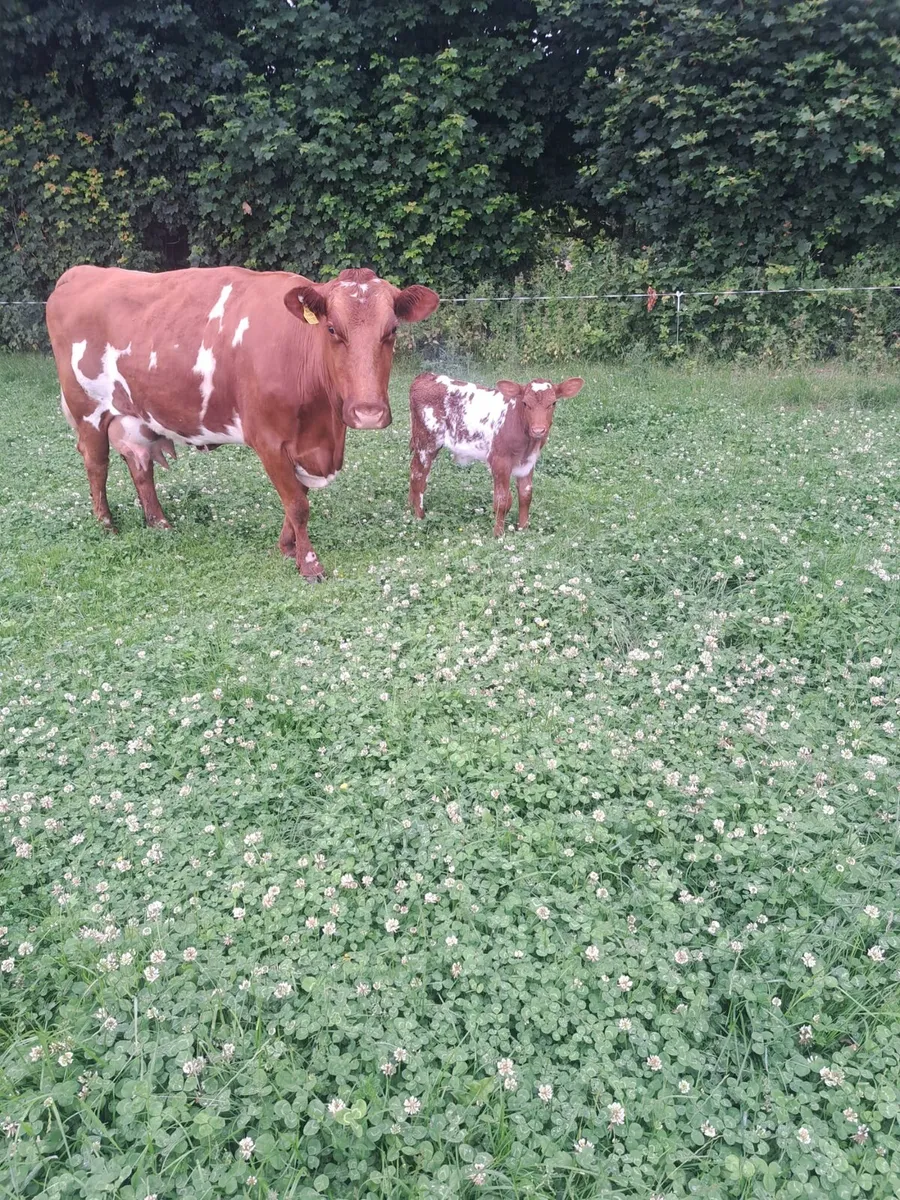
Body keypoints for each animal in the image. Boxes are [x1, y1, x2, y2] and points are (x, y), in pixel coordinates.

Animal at [45, 265, 439, 580]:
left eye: (392, 330)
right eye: (331, 329)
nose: (368, 412)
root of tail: (81, 271)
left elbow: (297, 497)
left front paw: (287, 549)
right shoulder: (268, 440)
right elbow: (298, 505)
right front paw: (309, 564)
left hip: (134, 416)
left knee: (140, 465)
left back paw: (160, 523)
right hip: (87, 409)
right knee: (97, 465)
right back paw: (107, 526)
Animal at [408, 372, 584, 535]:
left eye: (553, 403)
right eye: (525, 403)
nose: (539, 430)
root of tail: (426, 376)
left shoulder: (528, 462)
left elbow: (526, 495)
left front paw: (523, 529)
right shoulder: (500, 461)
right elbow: (502, 499)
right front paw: (498, 534)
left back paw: (410, 506)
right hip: (426, 443)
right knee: (418, 476)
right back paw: (419, 517)